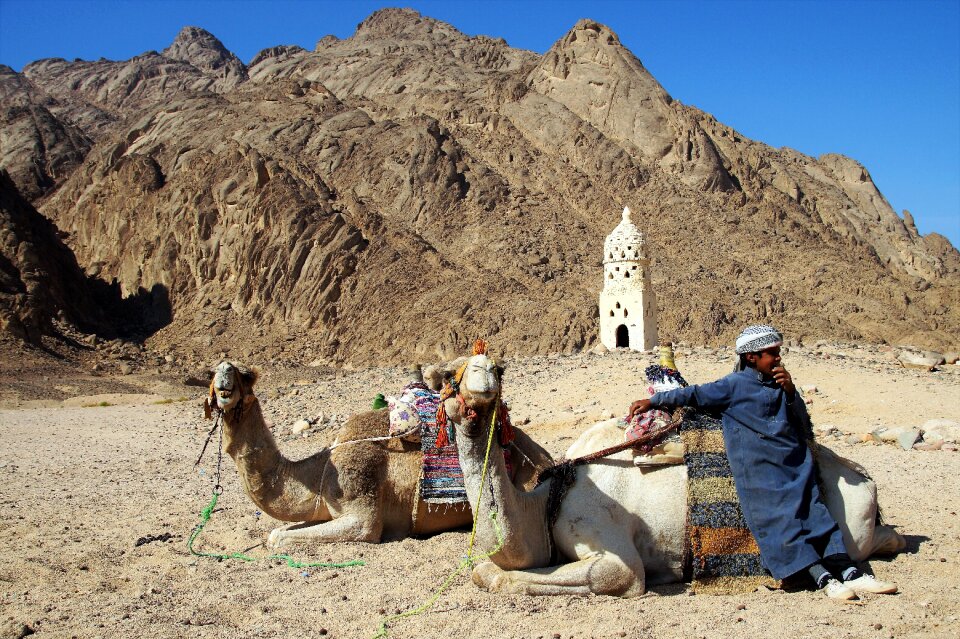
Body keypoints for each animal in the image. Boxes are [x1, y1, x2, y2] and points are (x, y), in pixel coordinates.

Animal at [206, 362, 552, 548]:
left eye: (244, 376)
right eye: (215, 370)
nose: (224, 379)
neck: (322, 472)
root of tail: (544, 455)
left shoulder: (362, 509)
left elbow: (278, 538)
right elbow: (280, 532)